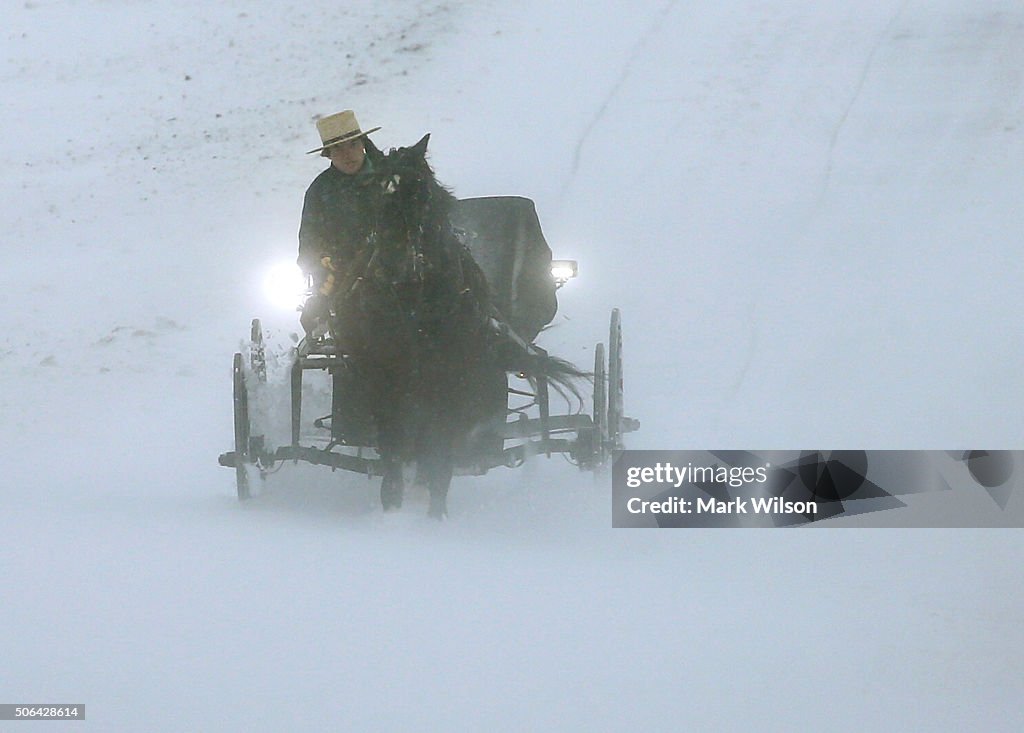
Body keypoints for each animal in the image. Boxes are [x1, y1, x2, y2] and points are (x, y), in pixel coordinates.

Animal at [329, 134, 585, 518]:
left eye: (422, 193)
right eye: (374, 194)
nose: (399, 266)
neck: (414, 307)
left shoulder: (450, 381)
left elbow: (440, 449)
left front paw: (436, 512)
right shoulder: (384, 378)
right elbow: (392, 446)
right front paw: (392, 507)